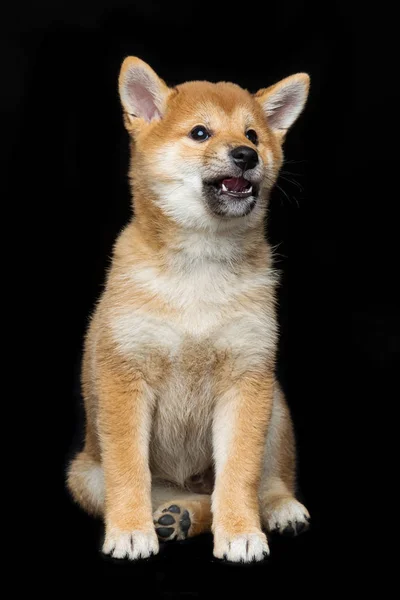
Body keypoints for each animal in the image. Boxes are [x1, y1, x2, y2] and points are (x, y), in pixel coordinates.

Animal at [67, 56, 310, 564]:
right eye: (200, 133)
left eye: (253, 134)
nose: (246, 155)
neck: (200, 266)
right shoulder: (124, 375)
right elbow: (128, 471)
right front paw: (130, 532)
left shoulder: (248, 377)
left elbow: (239, 474)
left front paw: (241, 532)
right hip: (84, 475)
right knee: (177, 493)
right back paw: (172, 516)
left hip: (276, 408)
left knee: (261, 480)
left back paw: (277, 508)